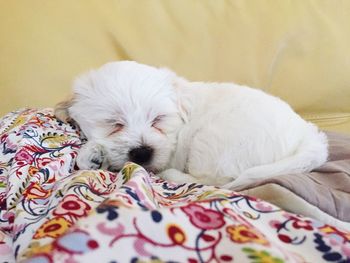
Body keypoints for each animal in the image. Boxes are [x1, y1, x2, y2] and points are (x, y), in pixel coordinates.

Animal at [54, 61, 328, 190]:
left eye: (158, 120)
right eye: (115, 124)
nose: (142, 153)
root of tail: (308, 137)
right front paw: (92, 155)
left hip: (213, 142)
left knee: (213, 179)